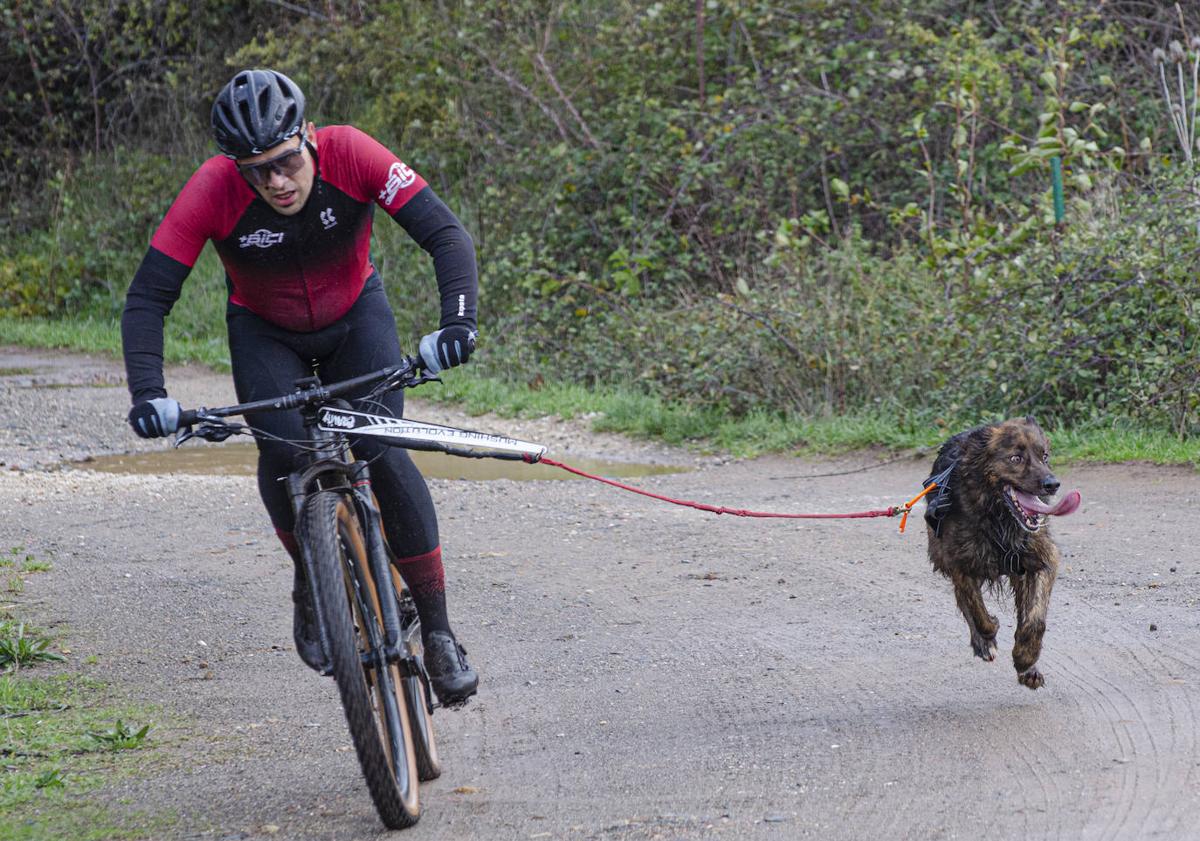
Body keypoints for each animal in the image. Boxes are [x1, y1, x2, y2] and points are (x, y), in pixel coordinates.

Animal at [921, 417, 1084, 691]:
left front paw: (1025, 658)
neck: (999, 518)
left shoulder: (1043, 559)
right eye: (1015, 458)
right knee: (964, 602)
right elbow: (977, 611)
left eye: (1045, 456)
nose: (1052, 484)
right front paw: (989, 634)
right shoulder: (960, 565)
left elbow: (1035, 619)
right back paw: (983, 643)